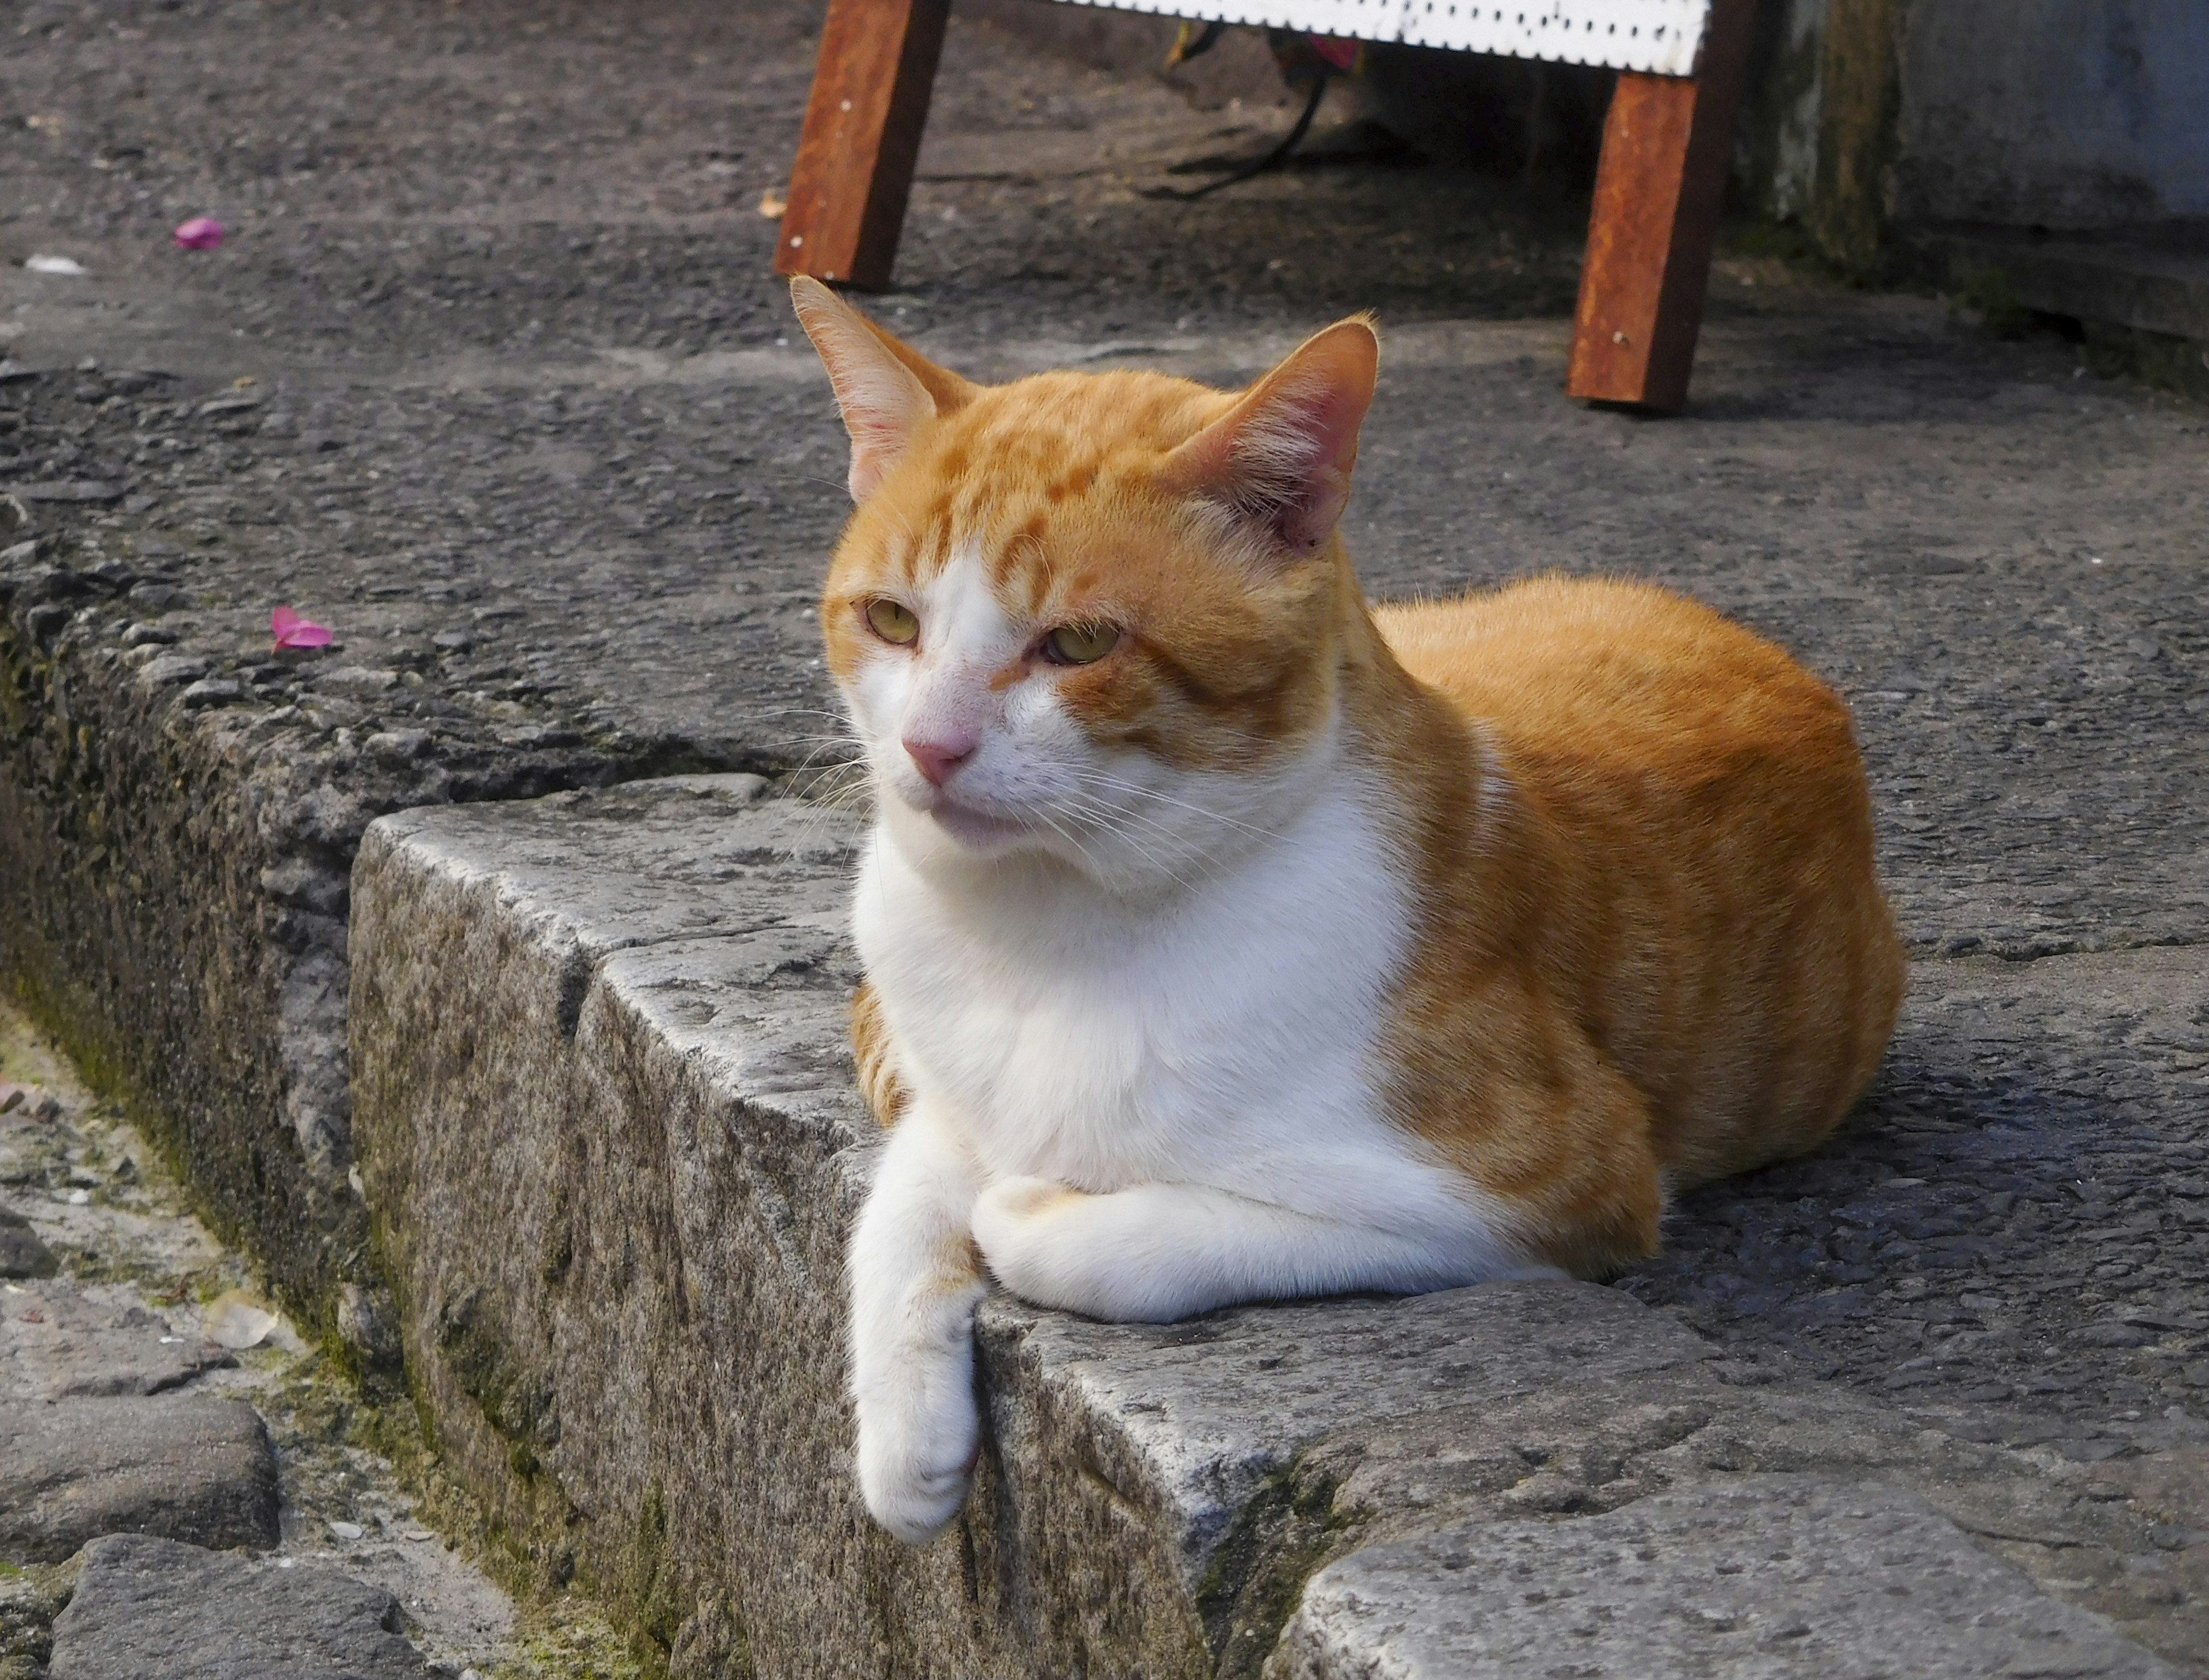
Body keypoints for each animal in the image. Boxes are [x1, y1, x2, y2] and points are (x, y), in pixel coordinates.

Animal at [790, 278, 1900, 1547]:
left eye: (1078, 643)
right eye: (892, 619)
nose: (930, 746)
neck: (1053, 928)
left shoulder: (1550, 1188)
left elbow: (1173, 1230)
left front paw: (1032, 1210)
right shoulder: (955, 1085)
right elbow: (904, 1196)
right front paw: (904, 1444)